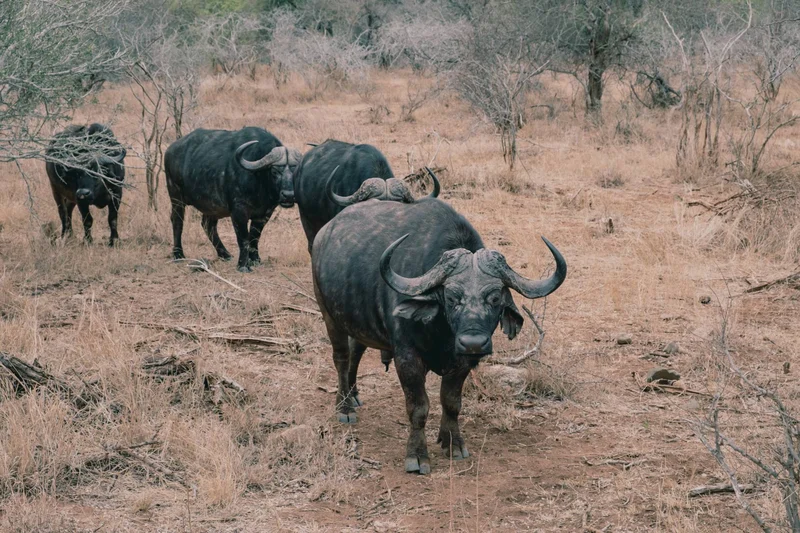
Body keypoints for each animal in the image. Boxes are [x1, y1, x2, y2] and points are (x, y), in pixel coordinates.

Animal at [164, 127, 301, 272]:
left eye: (295, 172)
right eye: (275, 171)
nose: (288, 195)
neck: (259, 181)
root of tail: (170, 150)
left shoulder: (264, 214)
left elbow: (254, 237)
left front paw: (255, 260)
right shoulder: (238, 212)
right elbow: (243, 238)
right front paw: (243, 265)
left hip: (212, 207)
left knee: (207, 225)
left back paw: (225, 254)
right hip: (176, 197)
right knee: (177, 221)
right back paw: (178, 254)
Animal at [312, 198, 567, 474]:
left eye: (495, 298)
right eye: (451, 297)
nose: (473, 343)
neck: (442, 334)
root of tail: (323, 234)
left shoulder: (462, 361)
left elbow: (451, 402)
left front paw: (452, 442)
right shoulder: (407, 358)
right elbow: (418, 407)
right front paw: (417, 456)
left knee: (356, 350)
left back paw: (354, 395)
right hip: (329, 315)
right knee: (341, 357)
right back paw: (345, 406)